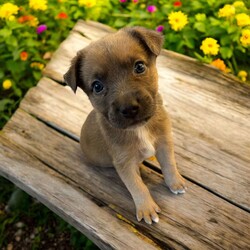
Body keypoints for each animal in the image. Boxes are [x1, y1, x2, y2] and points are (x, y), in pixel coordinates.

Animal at [64, 27, 186, 225]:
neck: (140, 128)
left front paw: (175, 182)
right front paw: (147, 208)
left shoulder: (164, 142)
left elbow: (169, 164)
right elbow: (137, 186)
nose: (129, 108)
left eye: (139, 67)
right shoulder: (125, 163)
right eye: (97, 86)